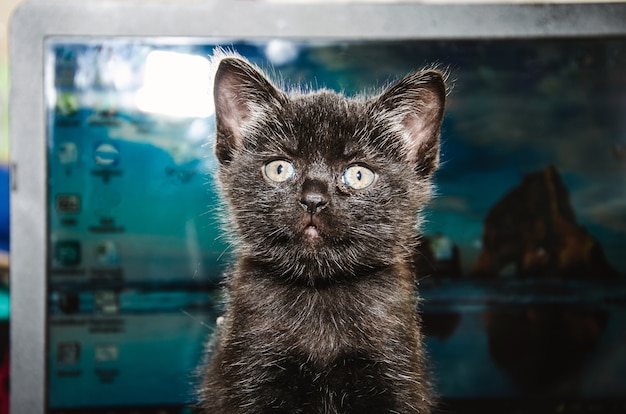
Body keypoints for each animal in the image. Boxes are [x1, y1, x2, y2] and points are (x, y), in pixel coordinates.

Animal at [200, 55, 444, 414]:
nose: (313, 199)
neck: (320, 296)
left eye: (358, 174)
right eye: (279, 169)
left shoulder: (396, 372)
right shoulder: (250, 370)